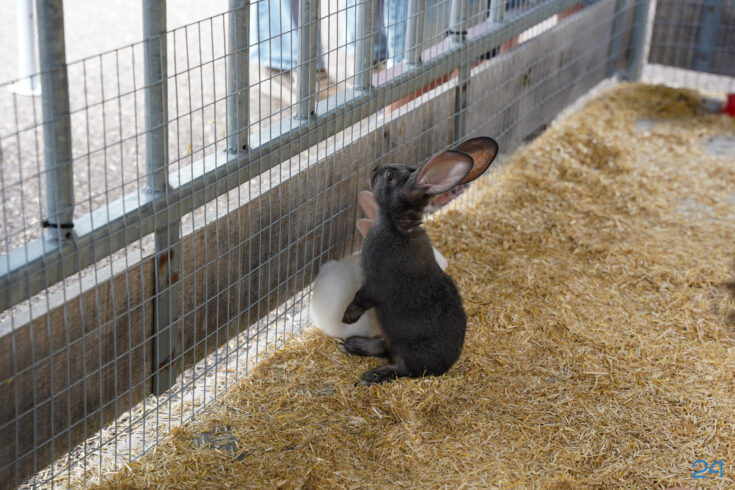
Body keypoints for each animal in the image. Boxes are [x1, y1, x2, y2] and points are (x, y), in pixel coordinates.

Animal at [340, 136, 499, 385]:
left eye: (389, 177)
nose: (375, 169)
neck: (399, 226)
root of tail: (442, 367)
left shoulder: (376, 283)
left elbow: (362, 298)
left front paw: (347, 317)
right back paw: (354, 344)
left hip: (407, 352)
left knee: (402, 369)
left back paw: (372, 374)